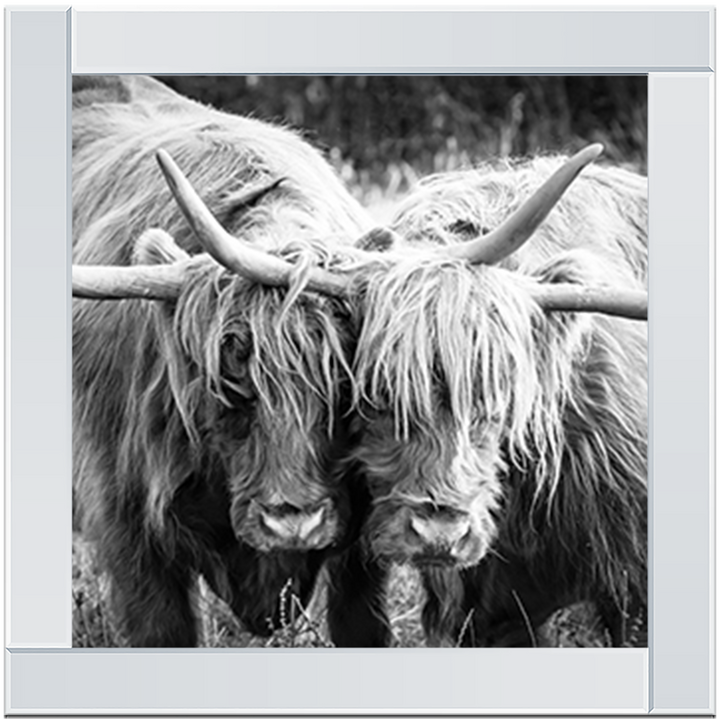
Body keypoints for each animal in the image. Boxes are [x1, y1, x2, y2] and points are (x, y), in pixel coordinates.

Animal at [71, 75, 386, 647]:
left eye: (344, 385)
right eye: (229, 381)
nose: (293, 523)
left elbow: (362, 622)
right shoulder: (126, 525)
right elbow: (161, 630)